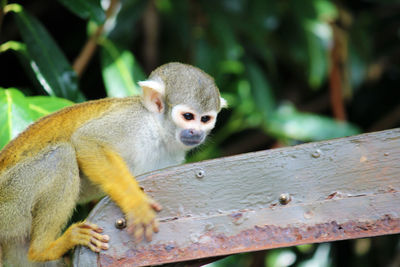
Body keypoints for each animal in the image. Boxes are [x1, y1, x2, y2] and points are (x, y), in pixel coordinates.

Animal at [0, 63, 227, 267]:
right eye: (188, 116)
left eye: (205, 119)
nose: (196, 133)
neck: (159, 130)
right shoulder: (133, 122)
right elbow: (87, 140)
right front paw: (136, 204)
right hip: (11, 201)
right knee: (61, 156)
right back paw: (44, 249)